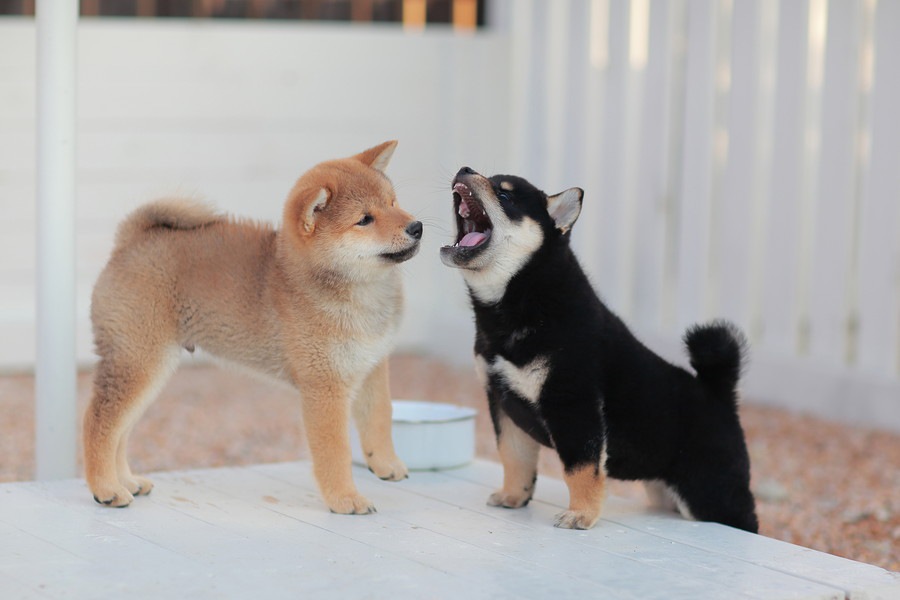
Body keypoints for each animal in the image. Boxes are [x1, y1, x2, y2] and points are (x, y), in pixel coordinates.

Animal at [85, 142, 422, 516]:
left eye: (393, 202)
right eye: (364, 219)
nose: (417, 226)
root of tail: (130, 242)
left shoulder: (371, 366)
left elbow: (380, 417)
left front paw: (386, 464)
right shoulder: (325, 386)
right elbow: (335, 451)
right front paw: (345, 498)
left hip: (150, 368)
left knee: (120, 430)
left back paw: (126, 481)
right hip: (138, 360)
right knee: (99, 423)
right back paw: (106, 489)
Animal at [440, 166, 756, 532]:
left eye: (504, 195)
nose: (464, 169)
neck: (523, 303)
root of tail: (719, 395)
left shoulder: (572, 403)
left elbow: (580, 469)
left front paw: (582, 514)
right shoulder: (503, 402)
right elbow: (514, 458)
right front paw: (513, 496)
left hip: (716, 496)